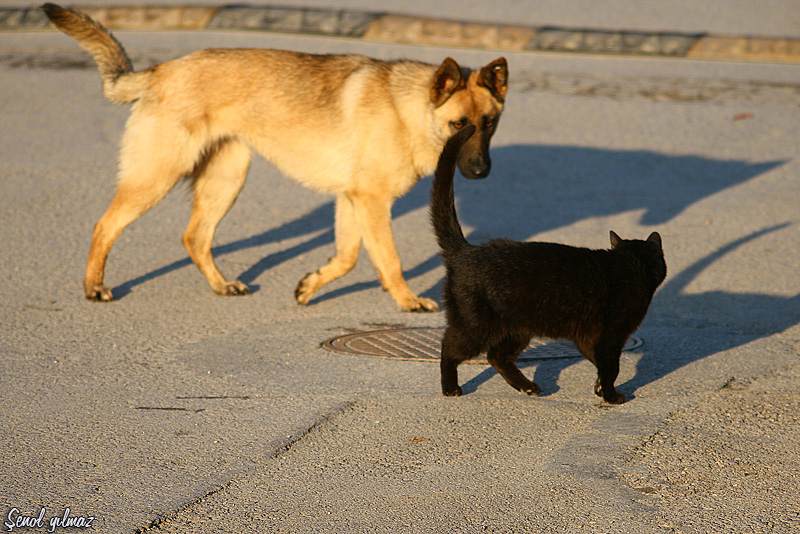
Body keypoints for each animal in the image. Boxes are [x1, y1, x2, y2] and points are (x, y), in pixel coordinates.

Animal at [40, 4, 506, 312]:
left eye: (490, 123)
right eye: (459, 126)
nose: (482, 172)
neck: (407, 109)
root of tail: (162, 71)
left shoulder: (351, 201)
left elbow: (347, 257)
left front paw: (310, 286)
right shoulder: (370, 203)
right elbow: (388, 260)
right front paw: (407, 301)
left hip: (227, 180)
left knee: (195, 238)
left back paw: (222, 286)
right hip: (157, 178)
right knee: (106, 225)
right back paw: (94, 287)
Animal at [434, 125, 664, 402]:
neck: (629, 265)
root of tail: (466, 250)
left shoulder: (588, 336)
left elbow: (599, 363)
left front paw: (600, 388)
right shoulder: (610, 335)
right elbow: (611, 366)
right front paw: (611, 396)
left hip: (519, 327)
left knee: (496, 356)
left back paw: (528, 387)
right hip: (476, 326)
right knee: (449, 348)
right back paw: (450, 388)